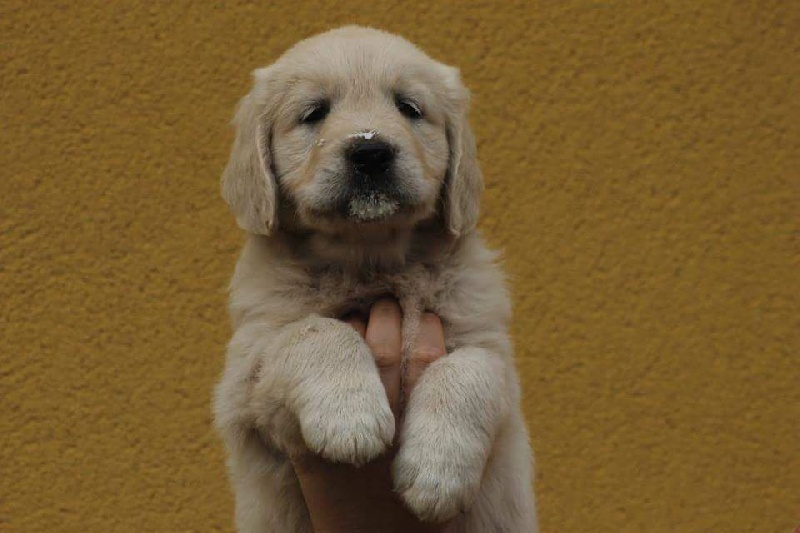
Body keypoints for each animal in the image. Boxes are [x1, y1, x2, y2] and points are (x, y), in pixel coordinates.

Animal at [213, 26, 538, 532]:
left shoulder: (489, 345)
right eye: (314, 112)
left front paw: (436, 473)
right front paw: (350, 418)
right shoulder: (246, 376)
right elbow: (314, 332)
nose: (370, 151)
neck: (370, 259)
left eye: (409, 107)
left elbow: (470, 369)